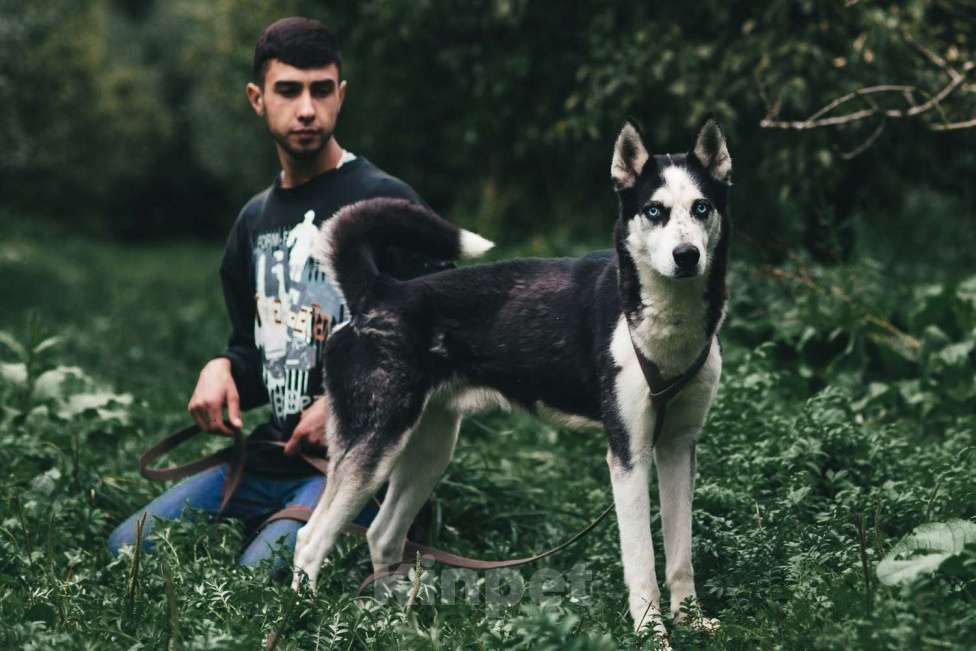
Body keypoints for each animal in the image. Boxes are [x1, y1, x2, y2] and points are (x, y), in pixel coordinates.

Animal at [294, 119, 728, 636]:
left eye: (701, 207)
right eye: (654, 211)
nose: (687, 255)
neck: (665, 324)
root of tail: (377, 292)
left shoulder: (679, 448)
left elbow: (680, 556)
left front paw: (692, 621)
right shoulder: (628, 456)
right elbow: (642, 562)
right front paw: (652, 633)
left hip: (428, 450)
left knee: (381, 534)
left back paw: (396, 621)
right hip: (373, 448)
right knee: (309, 539)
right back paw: (300, 616)